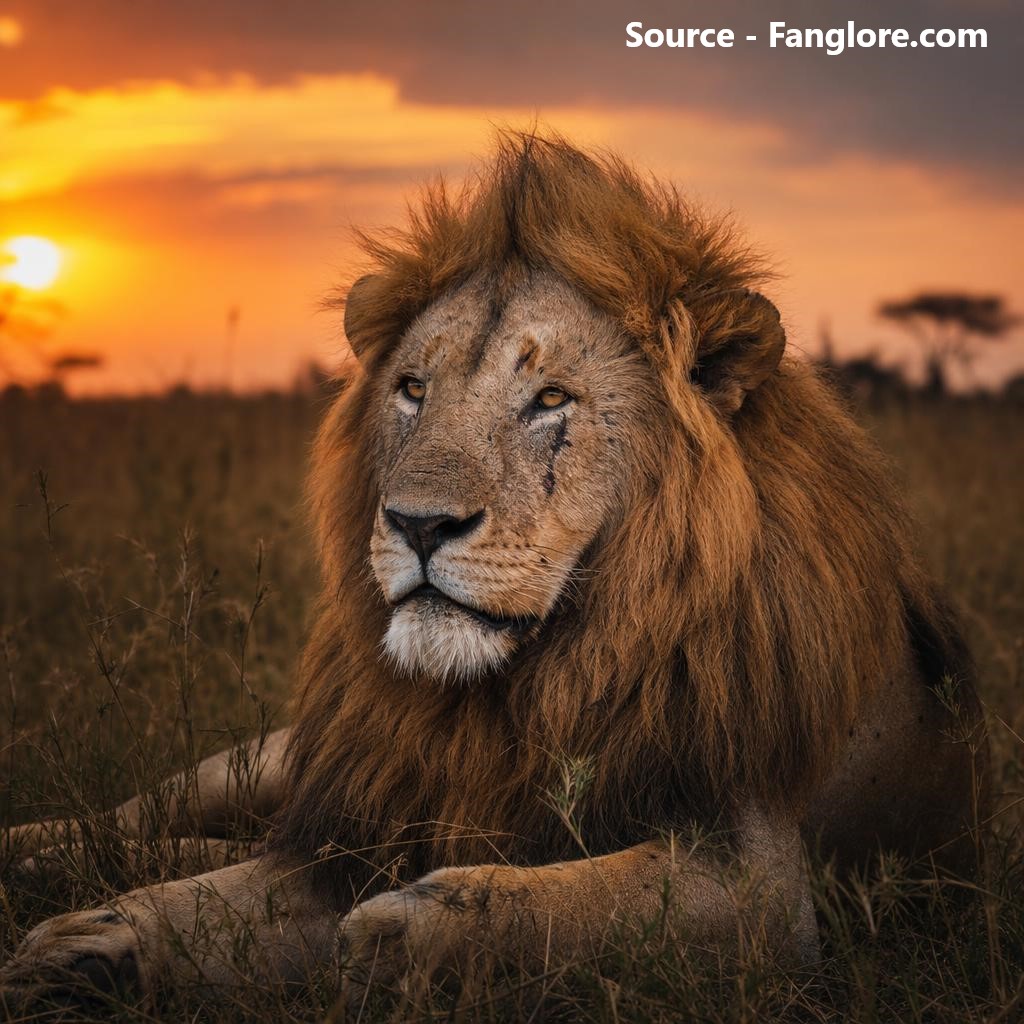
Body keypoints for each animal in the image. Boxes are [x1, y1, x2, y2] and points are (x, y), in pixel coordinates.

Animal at [0, 133, 988, 1009]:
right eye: (412, 389)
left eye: (549, 399)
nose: (418, 523)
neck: (525, 685)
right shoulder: (363, 818)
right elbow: (212, 904)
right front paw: (85, 948)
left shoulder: (758, 886)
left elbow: (519, 905)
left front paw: (389, 936)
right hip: (280, 758)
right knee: (149, 816)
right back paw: (39, 857)